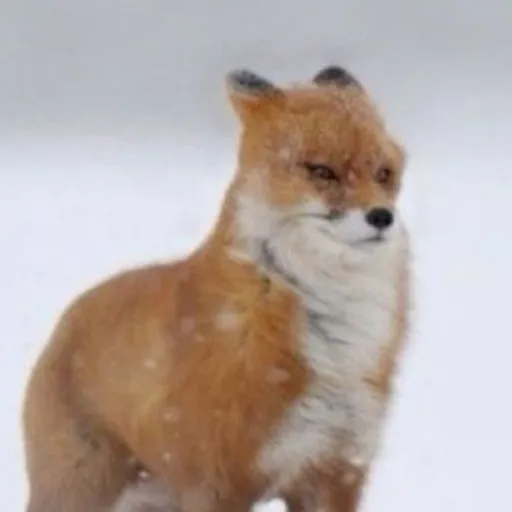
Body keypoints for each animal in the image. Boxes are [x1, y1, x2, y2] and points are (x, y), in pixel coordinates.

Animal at [22, 65, 411, 512]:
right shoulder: (217, 482)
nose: (381, 217)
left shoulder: (335, 469)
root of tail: (67, 317)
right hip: (80, 491)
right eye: (321, 171)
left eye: (384, 174)